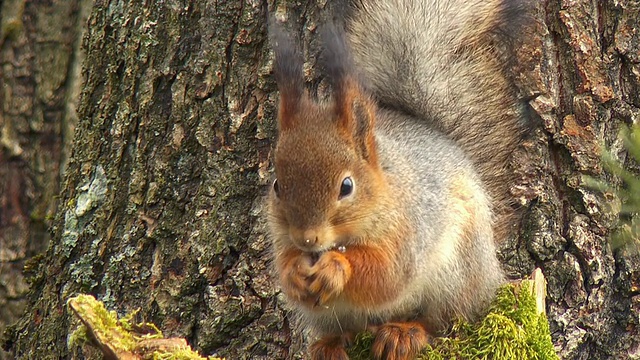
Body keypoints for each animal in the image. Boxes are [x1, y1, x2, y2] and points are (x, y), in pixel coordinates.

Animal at [266, 0, 528, 360]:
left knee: (444, 320)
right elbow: (284, 266)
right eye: (277, 185)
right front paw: (293, 273)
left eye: (346, 186)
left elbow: (387, 274)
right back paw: (331, 344)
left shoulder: (408, 228)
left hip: (455, 275)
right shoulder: (281, 235)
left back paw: (405, 332)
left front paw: (337, 267)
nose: (307, 239)